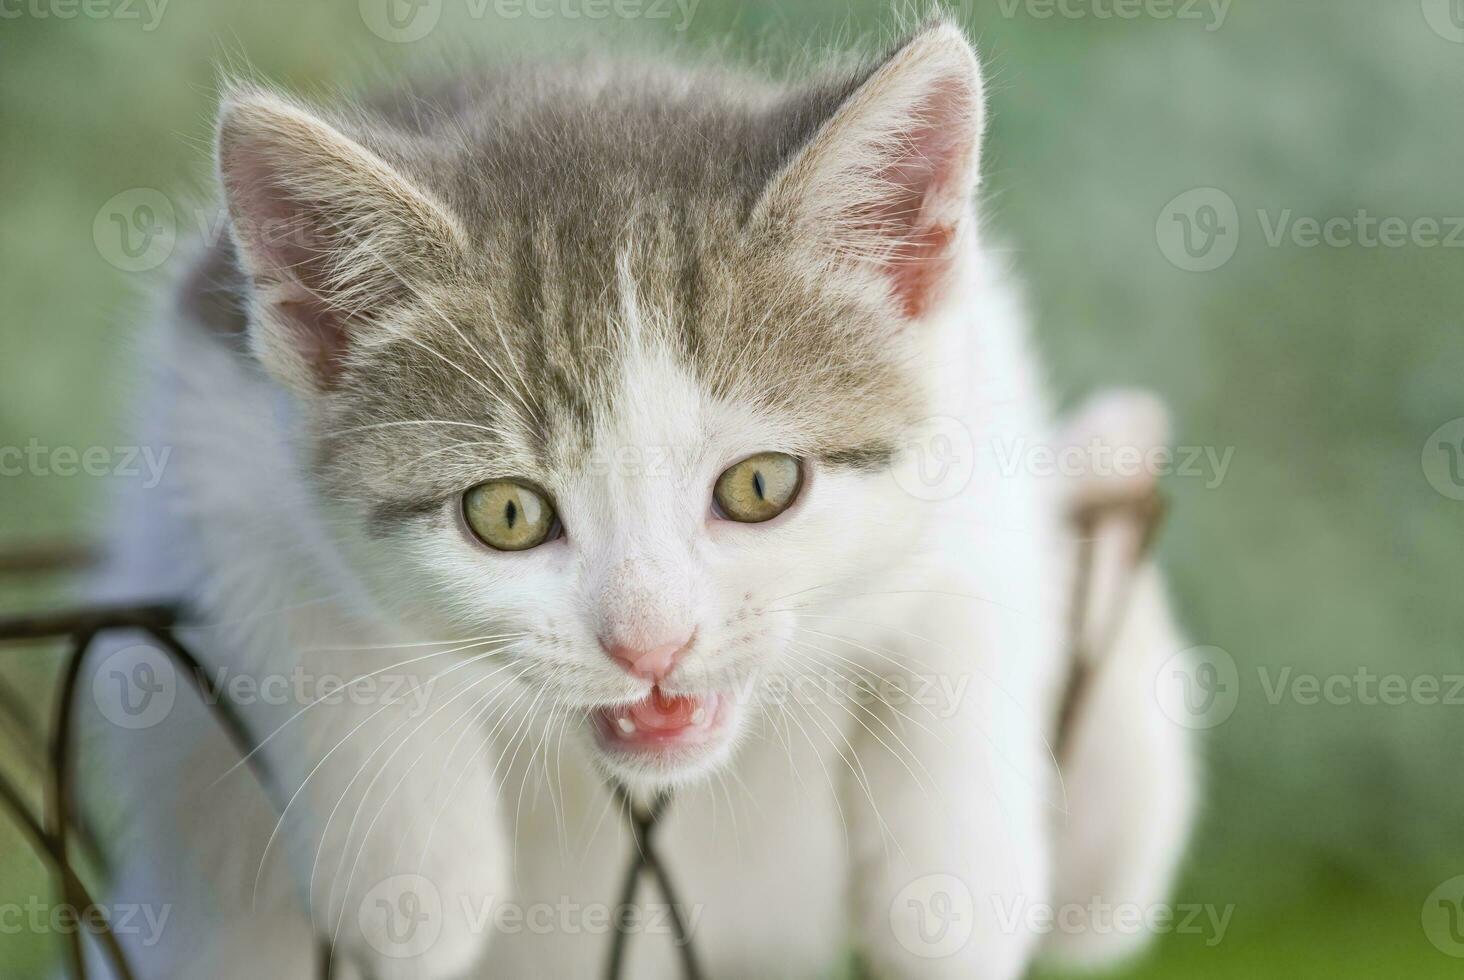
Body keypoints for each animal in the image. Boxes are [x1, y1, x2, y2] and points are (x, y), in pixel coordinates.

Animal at [83, 17, 1188, 978]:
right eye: (507, 513)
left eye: (759, 485)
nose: (650, 645)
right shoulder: (206, 403)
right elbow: (297, 589)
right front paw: (410, 871)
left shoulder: (980, 371)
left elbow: (980, 574)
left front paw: (952, 883)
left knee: (1104, 893)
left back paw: (1119, 453)